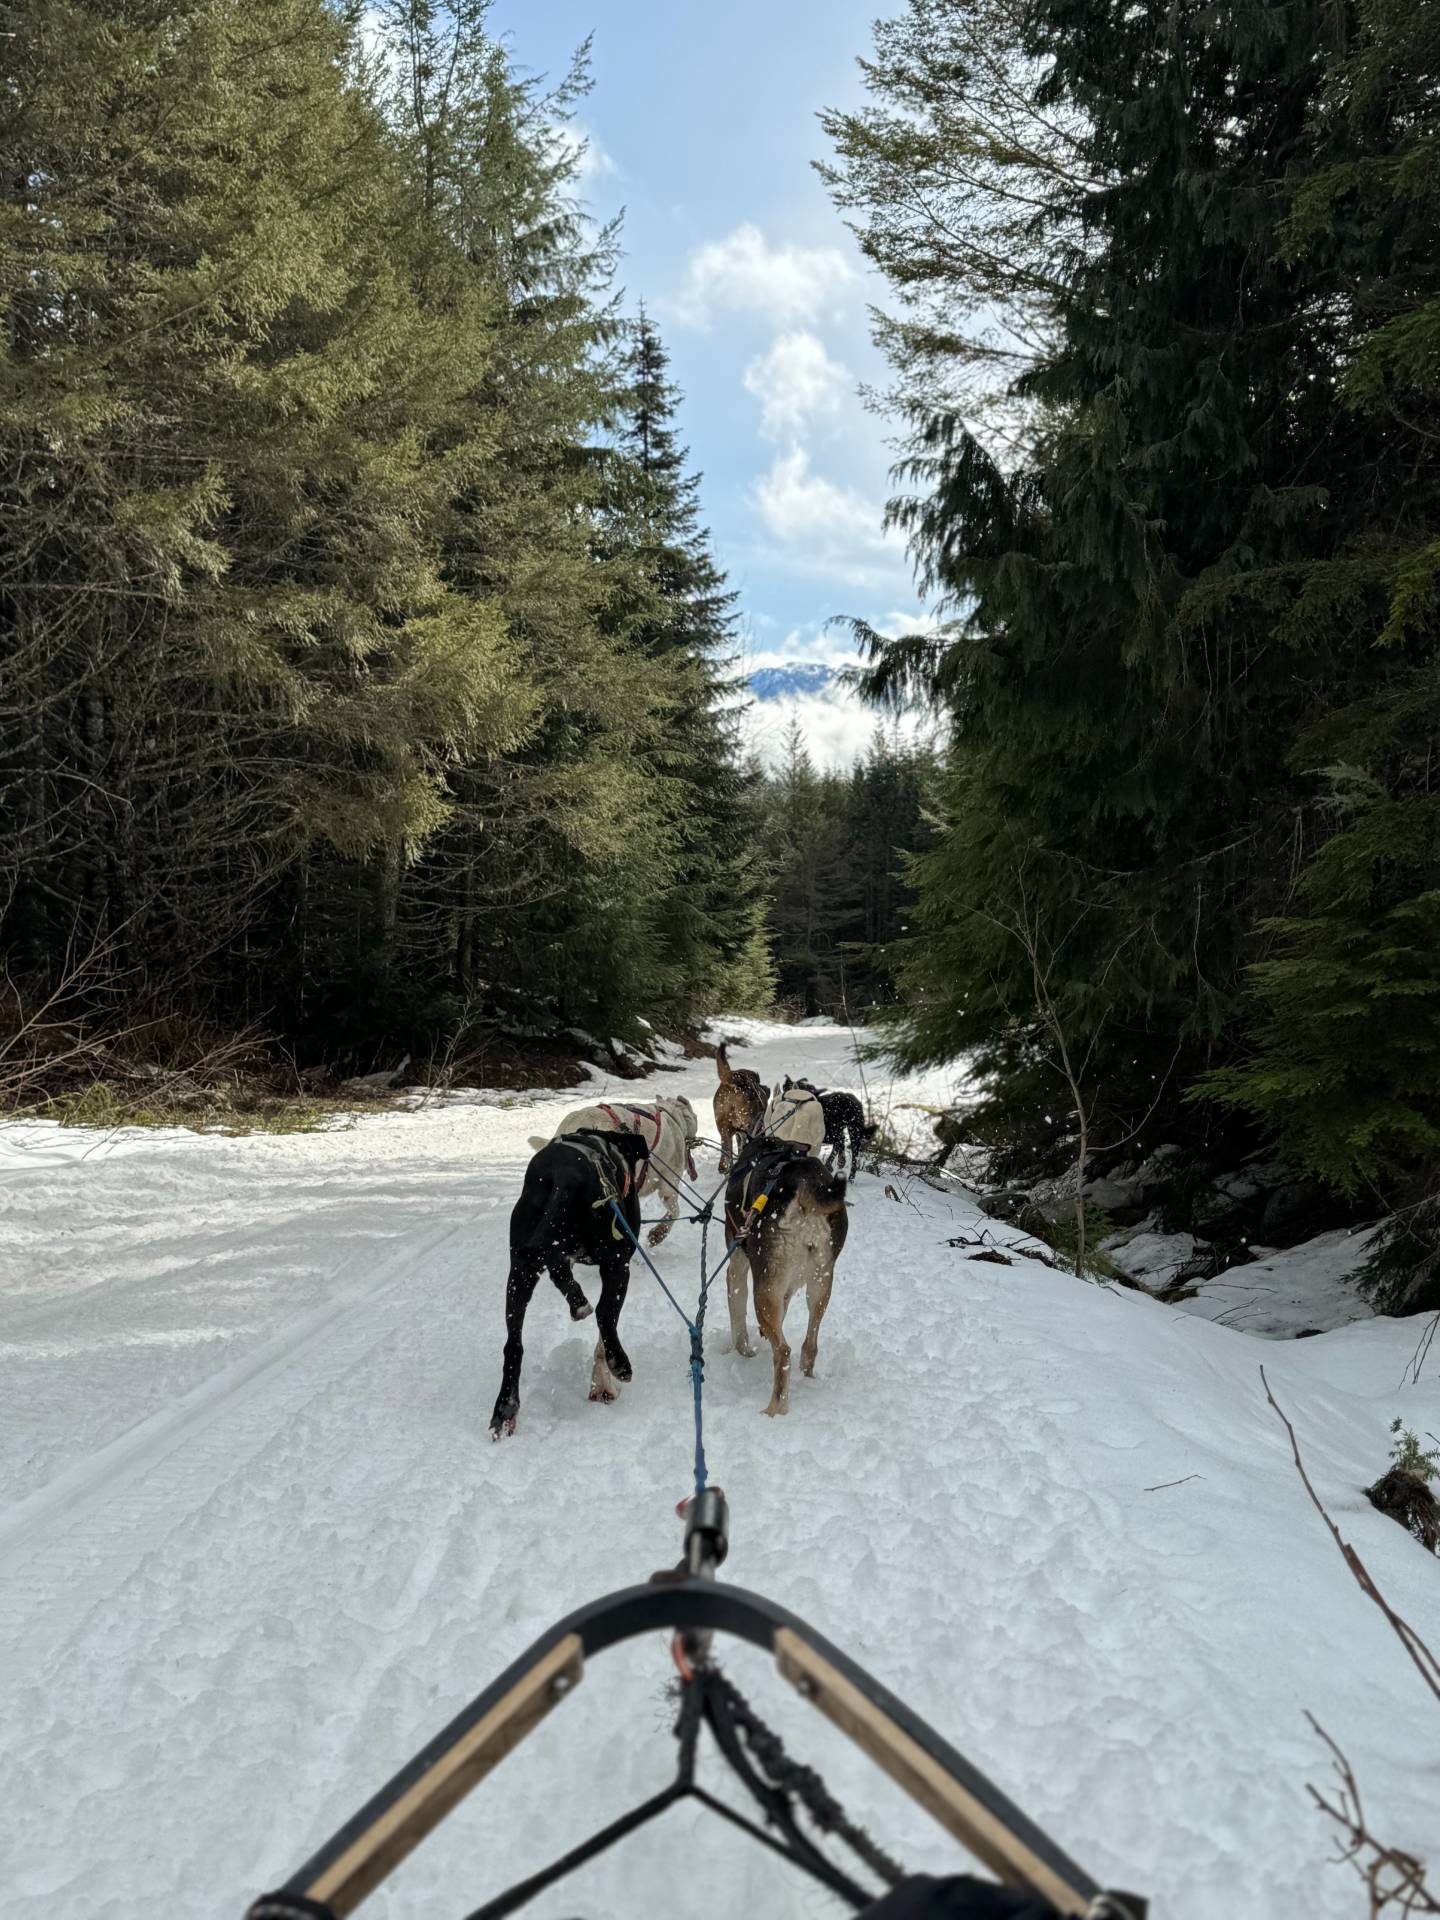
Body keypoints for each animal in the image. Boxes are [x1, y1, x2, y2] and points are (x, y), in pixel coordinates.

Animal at [495, 1121, 652, 1443]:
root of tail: (562, 1175)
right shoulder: (616, 1261)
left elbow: (559, 1269)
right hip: (617, 1263)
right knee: (605, 1314)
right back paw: (619, 1361)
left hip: (518, 1274)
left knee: (513, 1344)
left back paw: (505, 1408)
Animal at [725, 1144, 852, 1420]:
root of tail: (806, 1183)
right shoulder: (786, 1287)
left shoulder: (737, 1267)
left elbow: (738, 1322)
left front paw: (743, 1351)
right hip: (821, 1283)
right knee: (810, 1343)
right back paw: (807, 1374)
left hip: (762, 1292)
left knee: (783, 1352)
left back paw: (774, 1410)